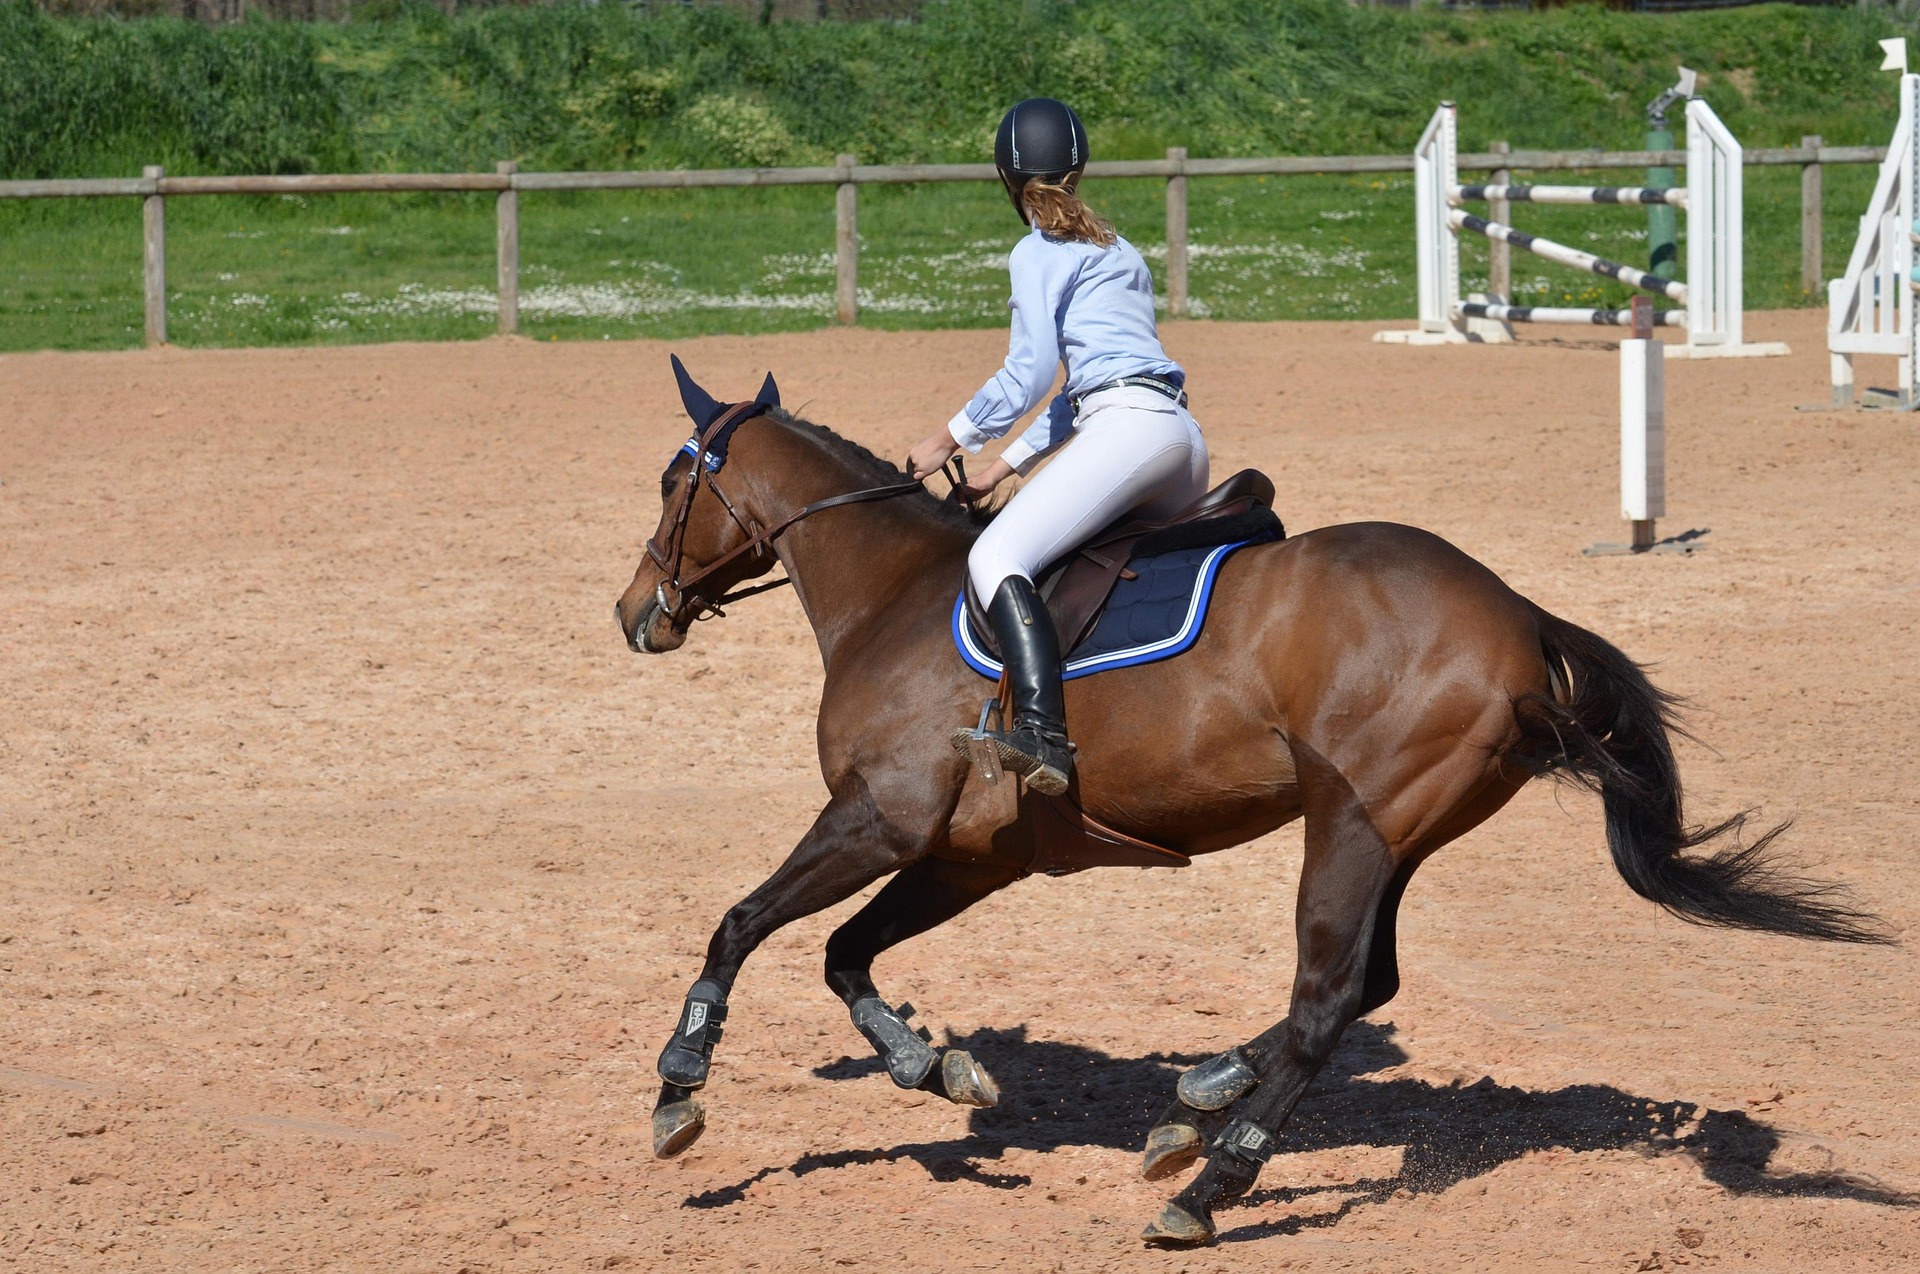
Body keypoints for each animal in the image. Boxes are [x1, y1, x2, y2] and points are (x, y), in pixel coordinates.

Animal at [614, 366, 1889, 1243]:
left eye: (675, 481)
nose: (635, 612)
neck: (897, 592)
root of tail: (1518, 612)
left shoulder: (879, 816)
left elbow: (743, 923)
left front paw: (680, 1086)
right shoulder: (970, 853)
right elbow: (844, 953)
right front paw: (932, 1063)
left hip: (1354, 824)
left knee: (1327, 998)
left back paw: (1214, 1178)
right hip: (1395, 829)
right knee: (1365, 983)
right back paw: (1196, 1101)